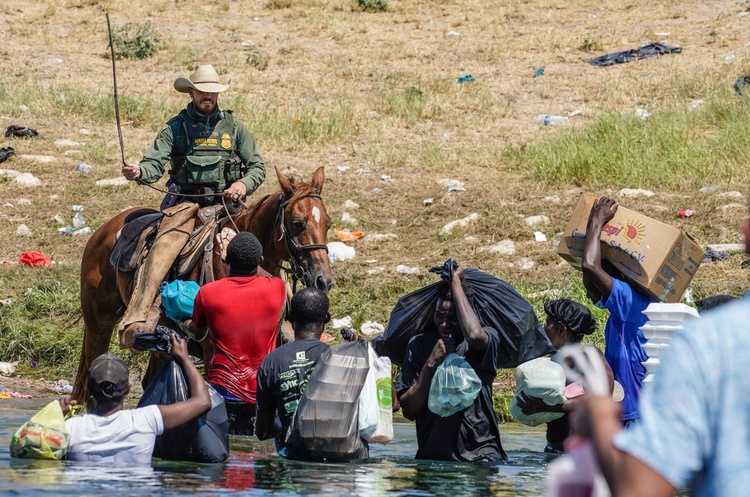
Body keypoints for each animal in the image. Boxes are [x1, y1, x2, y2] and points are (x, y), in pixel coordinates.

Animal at [73, 166, 334, 400]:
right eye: (298, 223)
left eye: (328, 223)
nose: (324, 279)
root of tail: (104, 230)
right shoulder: (213, 348)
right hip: (99, 325)